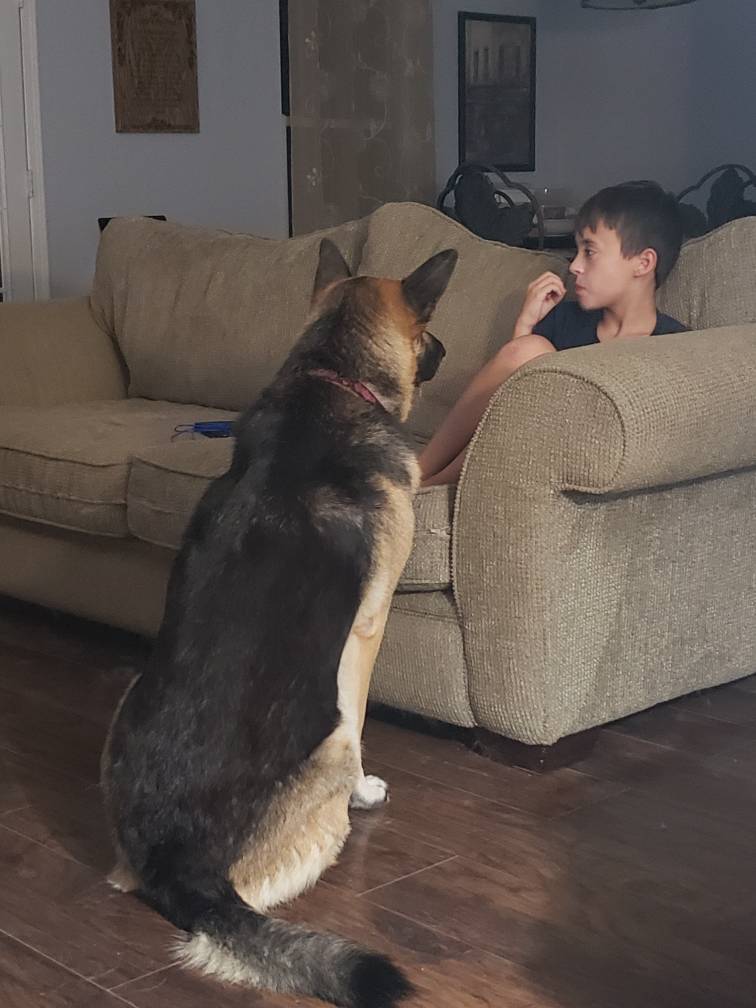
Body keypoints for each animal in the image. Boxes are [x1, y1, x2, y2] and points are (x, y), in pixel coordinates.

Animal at [100, 237, 457, 1008]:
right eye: (430, 328)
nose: (446, 350)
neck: (333, 376)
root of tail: (178, 866)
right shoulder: (368, 628)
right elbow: (361, 708)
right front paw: (370, 791)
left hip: (128, 694)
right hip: (329, 747)